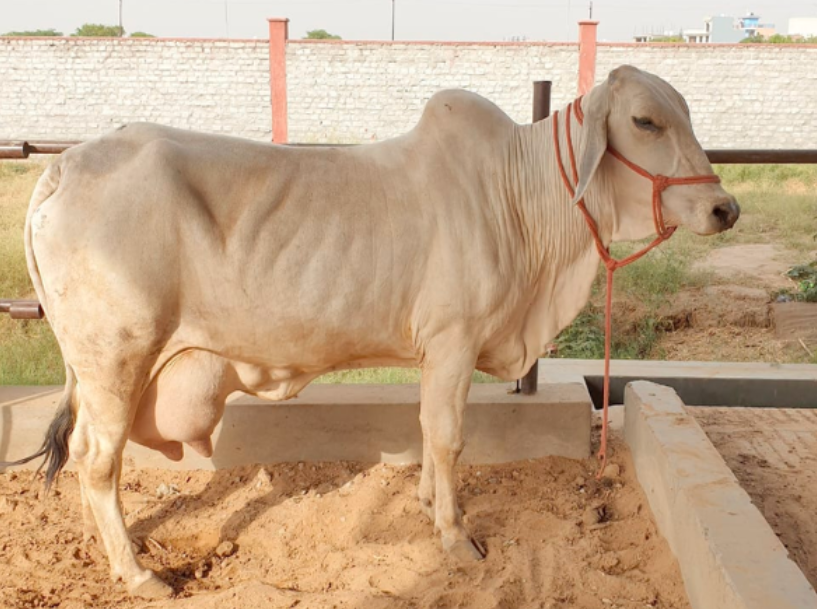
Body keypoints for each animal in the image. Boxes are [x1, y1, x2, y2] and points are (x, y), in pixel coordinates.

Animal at [12, 65, 736, 592]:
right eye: (645, 120)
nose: (724, 207)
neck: (518, 198)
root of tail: (63, 166)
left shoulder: (438, 352)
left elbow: (427, 432)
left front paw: (425, 504)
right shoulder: (454, 339)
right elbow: (447, 437)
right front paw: (454, 535)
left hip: (101, 367)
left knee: (85, 455)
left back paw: (104, 546)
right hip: (117, 356)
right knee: (97, 459)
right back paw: (137, 572)